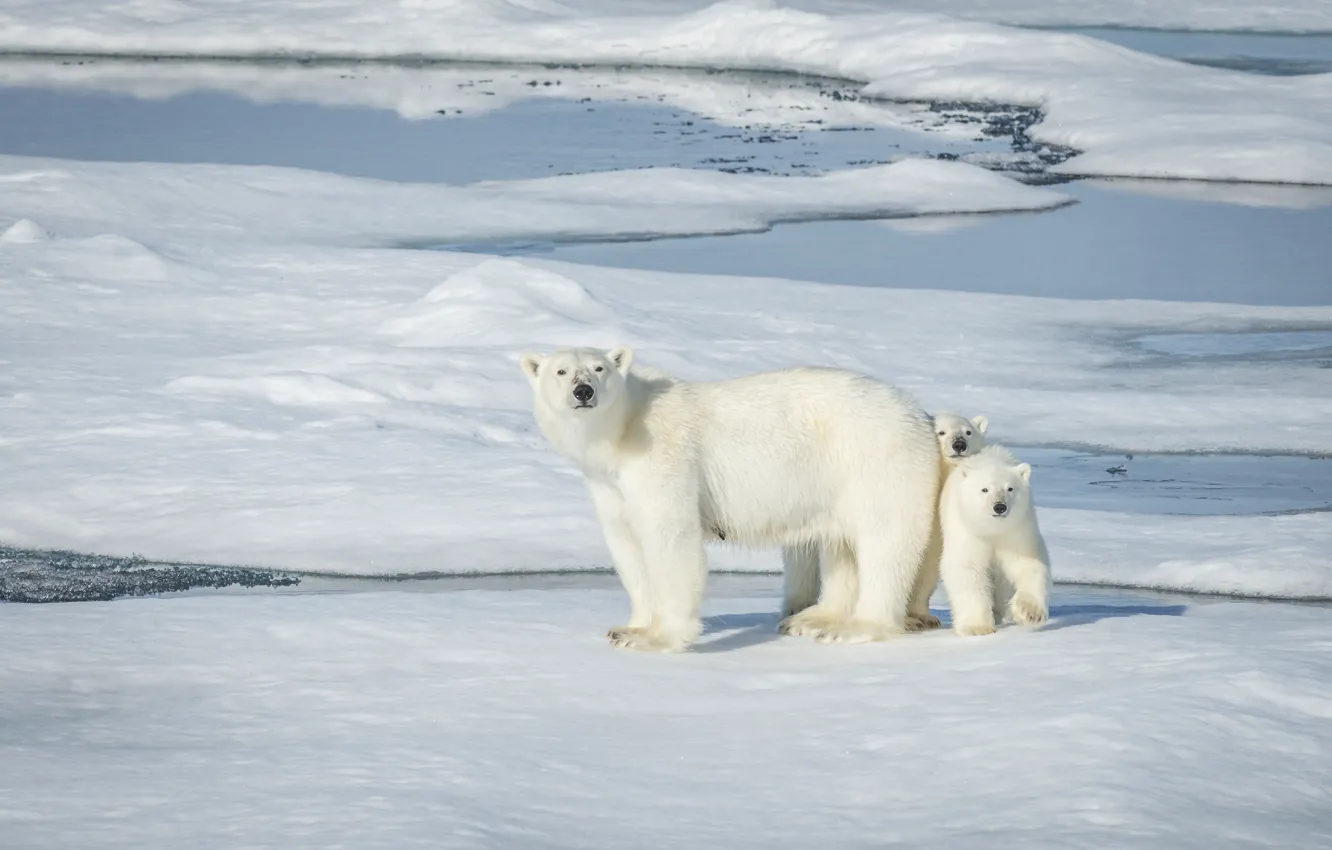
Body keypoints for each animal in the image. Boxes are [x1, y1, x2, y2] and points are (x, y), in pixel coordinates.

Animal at [519, 345, 940, 652]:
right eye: (560, 372)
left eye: (599, 368)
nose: (583, 391)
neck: (623, 430)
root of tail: (918, 413)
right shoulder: (610, 484)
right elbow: (626, 545)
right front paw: (627, 628)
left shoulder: (664, 459)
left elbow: (671, 538)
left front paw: (659, 637)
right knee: (840, 545)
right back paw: (813, 619)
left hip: (874, 461)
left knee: (884, 540)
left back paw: (854, 627)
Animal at [904, 413, 993, 631]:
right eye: (941, 432)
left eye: (968, 432)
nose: (959, 444)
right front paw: (909, 621)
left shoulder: (937, 529)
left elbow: (928, 568)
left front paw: (924, 617)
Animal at [937, 444, 1051, 636]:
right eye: (984, 489)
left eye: (1010, 488)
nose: (999, 507)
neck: (991, 530)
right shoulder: (967, 532)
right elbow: (967, 568)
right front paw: (977, 627)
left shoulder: (1016, 531)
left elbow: (1027, 564)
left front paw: (1030, 613)